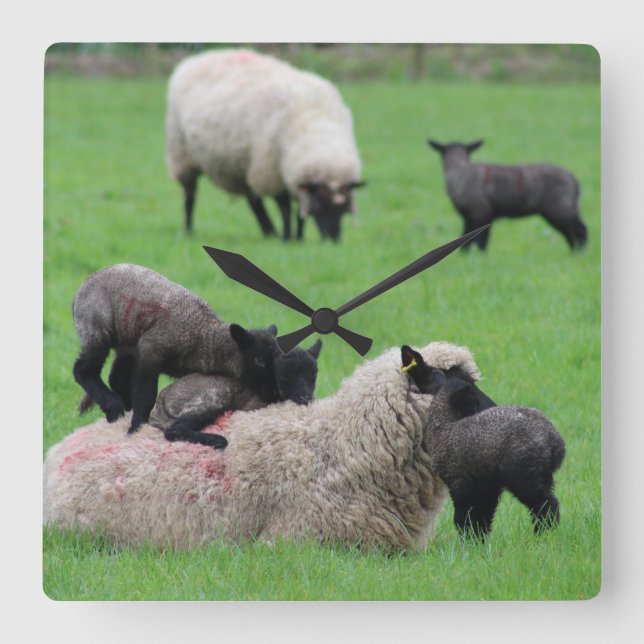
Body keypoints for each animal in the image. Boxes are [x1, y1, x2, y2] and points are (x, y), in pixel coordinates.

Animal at [72, 263, 282, 433]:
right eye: (259, 361)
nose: (275, 393)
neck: (204, 336)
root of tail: (81, 288)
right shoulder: (150, 350)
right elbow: (146, 396)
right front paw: (136, 428)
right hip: (96, 330)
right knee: (82, 370)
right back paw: (113, 406)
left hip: (127, 342)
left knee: (116, 379)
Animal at [149, 340, 323, 447]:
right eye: (284, 377)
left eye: (314, 375)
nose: (305, 396)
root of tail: (163, 396)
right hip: (211, 397)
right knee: (174, 429)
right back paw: (216, 440)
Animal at [166, 48, 365, 241]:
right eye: (319, 206)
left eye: (344, 208)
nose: (333, 239)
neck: (318, 128)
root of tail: (197, 58)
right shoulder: (271, 171)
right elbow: (285, 208)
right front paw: (287, 238)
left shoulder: (292, 177)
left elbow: (299, 213)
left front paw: (298, 238)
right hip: (182, 154)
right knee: (190, 196)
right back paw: (188, 230)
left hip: (242, 163)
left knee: (253, 201)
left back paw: (269, 231)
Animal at [417, 357, 565, 539]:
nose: (485, 406)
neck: (442, 425)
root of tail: (555, 442)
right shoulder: (486, 485)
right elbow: (482, 517)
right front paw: (478, 540)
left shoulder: (460, 483)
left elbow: (463, 517)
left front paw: (467, 540)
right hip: (541, 476)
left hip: (525, 476)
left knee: (546, 505)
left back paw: (542, 534)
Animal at [427, 139, 588, 250]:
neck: (458, 171)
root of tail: (573, 179)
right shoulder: (468, 215)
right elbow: (467, 236)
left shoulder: (481, 211)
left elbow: (481, 239)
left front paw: (480, 257)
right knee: (571, 232)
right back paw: (575, 252)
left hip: (559, 207)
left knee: (579, 230)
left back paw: (580, 253)